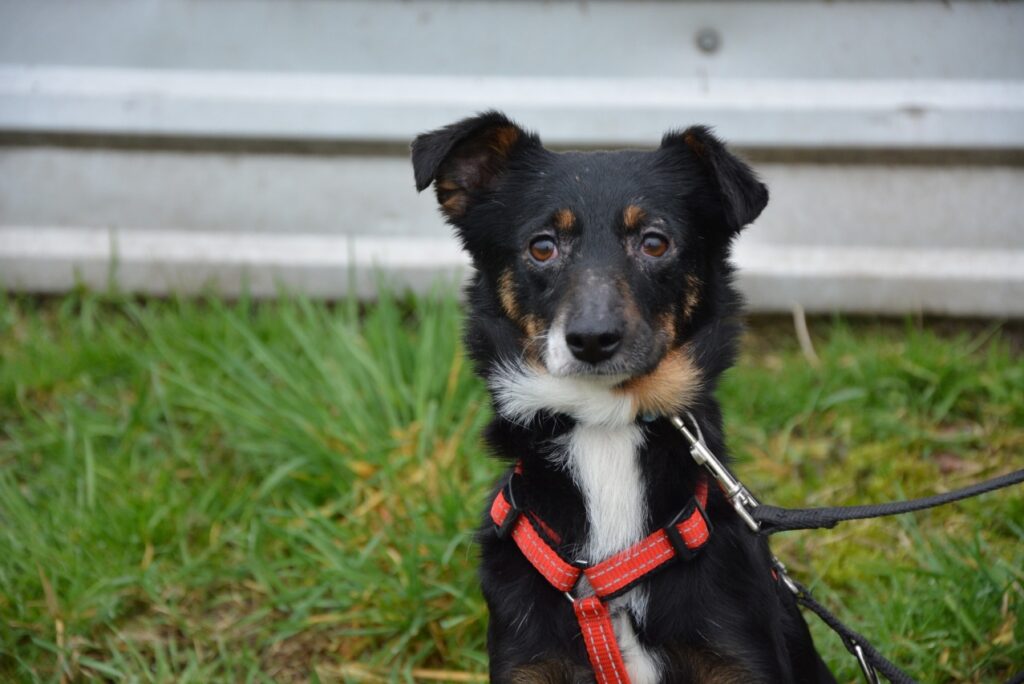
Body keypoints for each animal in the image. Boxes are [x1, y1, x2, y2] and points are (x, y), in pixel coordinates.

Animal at [411, 112, 835, 684]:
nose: (592, 339)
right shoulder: (530, 661)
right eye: (542, 246)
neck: (605, 427)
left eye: (654, 242)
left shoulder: (738, 657)